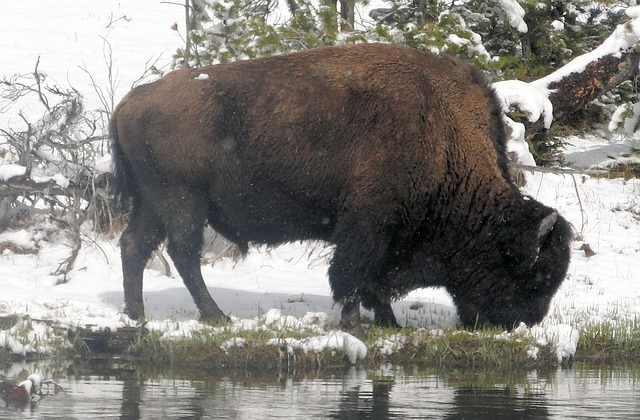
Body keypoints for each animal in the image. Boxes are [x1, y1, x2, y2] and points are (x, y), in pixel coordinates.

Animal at [110, 41, 568, 332]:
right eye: (537, 274)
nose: (522, 323)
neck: (443, 133)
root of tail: (131, 101)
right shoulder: (367, 224)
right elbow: (353, 275)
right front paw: (357, 324)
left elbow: (372, 280)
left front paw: (388, 323)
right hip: (183, 200)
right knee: (183, 252)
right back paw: (214, 316)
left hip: (152, 202)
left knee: (135, 245)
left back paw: (136, 315)